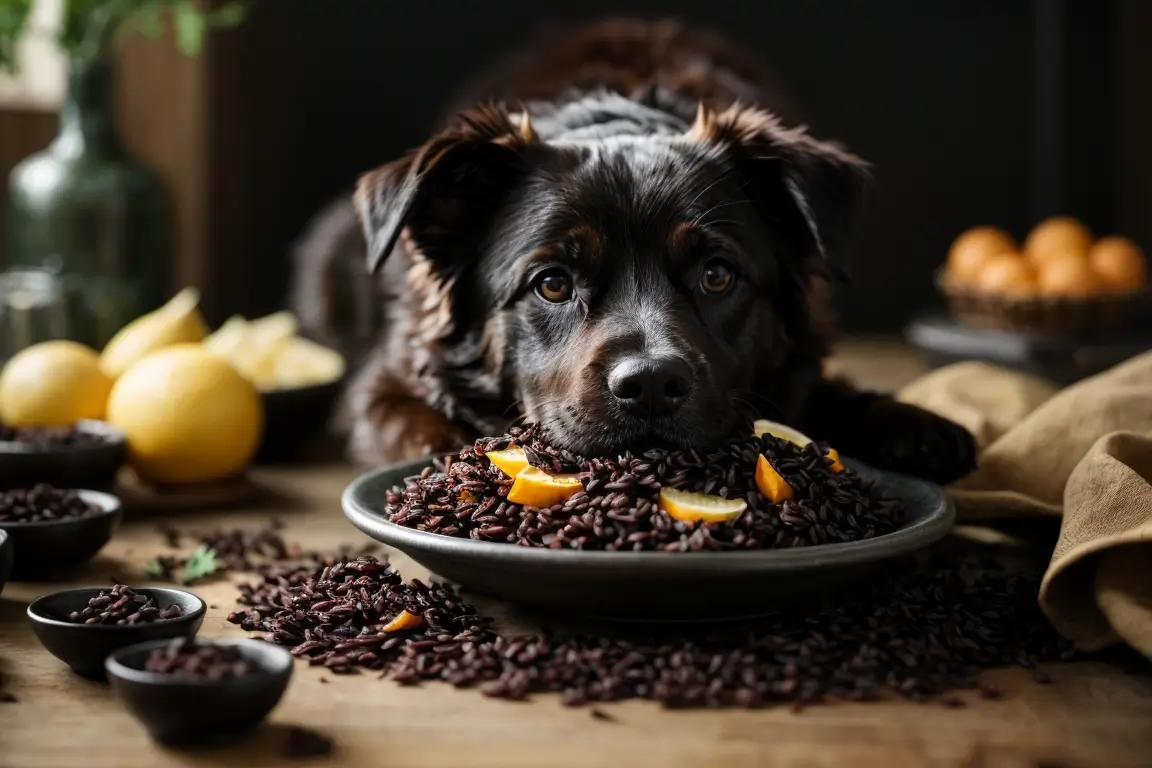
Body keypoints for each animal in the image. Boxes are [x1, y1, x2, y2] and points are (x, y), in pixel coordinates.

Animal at [292, 17, 976, 483]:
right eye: (552, 283)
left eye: (717, 276)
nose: (650, 385)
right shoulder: (382, 387)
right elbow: (425, 430)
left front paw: (906, 423)